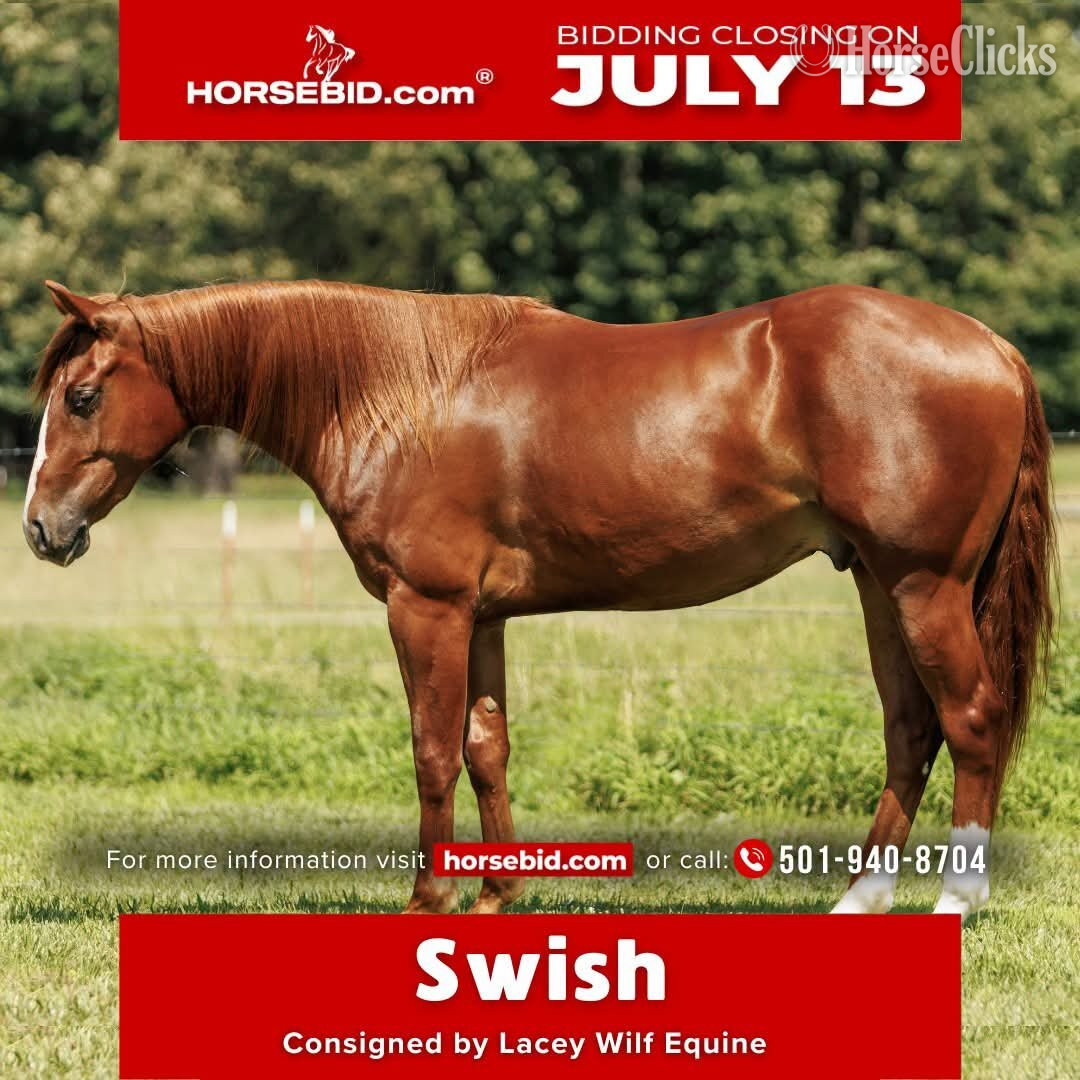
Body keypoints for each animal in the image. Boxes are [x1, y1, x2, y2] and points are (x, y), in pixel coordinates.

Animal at [25, 279, 1056, 918]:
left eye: (81, 397)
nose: (40, 530)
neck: (398, 392)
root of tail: (994, 348)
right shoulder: (480, 618)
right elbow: (487, 749)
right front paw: (495, 895)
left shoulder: (426, 607)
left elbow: (432, 753)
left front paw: (429, 899)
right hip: (880, 586)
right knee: (910, 732)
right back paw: (859, 899)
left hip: (924, 586)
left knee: (970, 720)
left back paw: (956, 900)